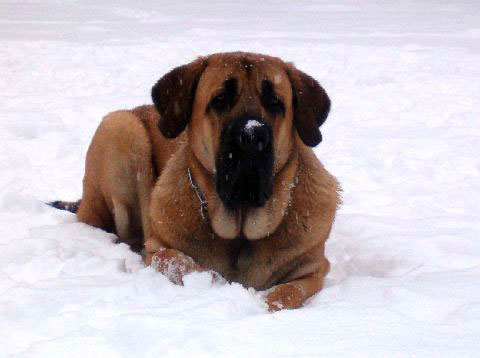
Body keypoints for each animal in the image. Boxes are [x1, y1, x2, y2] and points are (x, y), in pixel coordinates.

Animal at [50, 51, 340, 312]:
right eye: (220, 99)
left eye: (275, 102)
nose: (252, 135)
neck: (240, 230)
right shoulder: (160, 249)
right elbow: (187, 266)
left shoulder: (311, 270)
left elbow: (287, 293)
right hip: (121, 128)